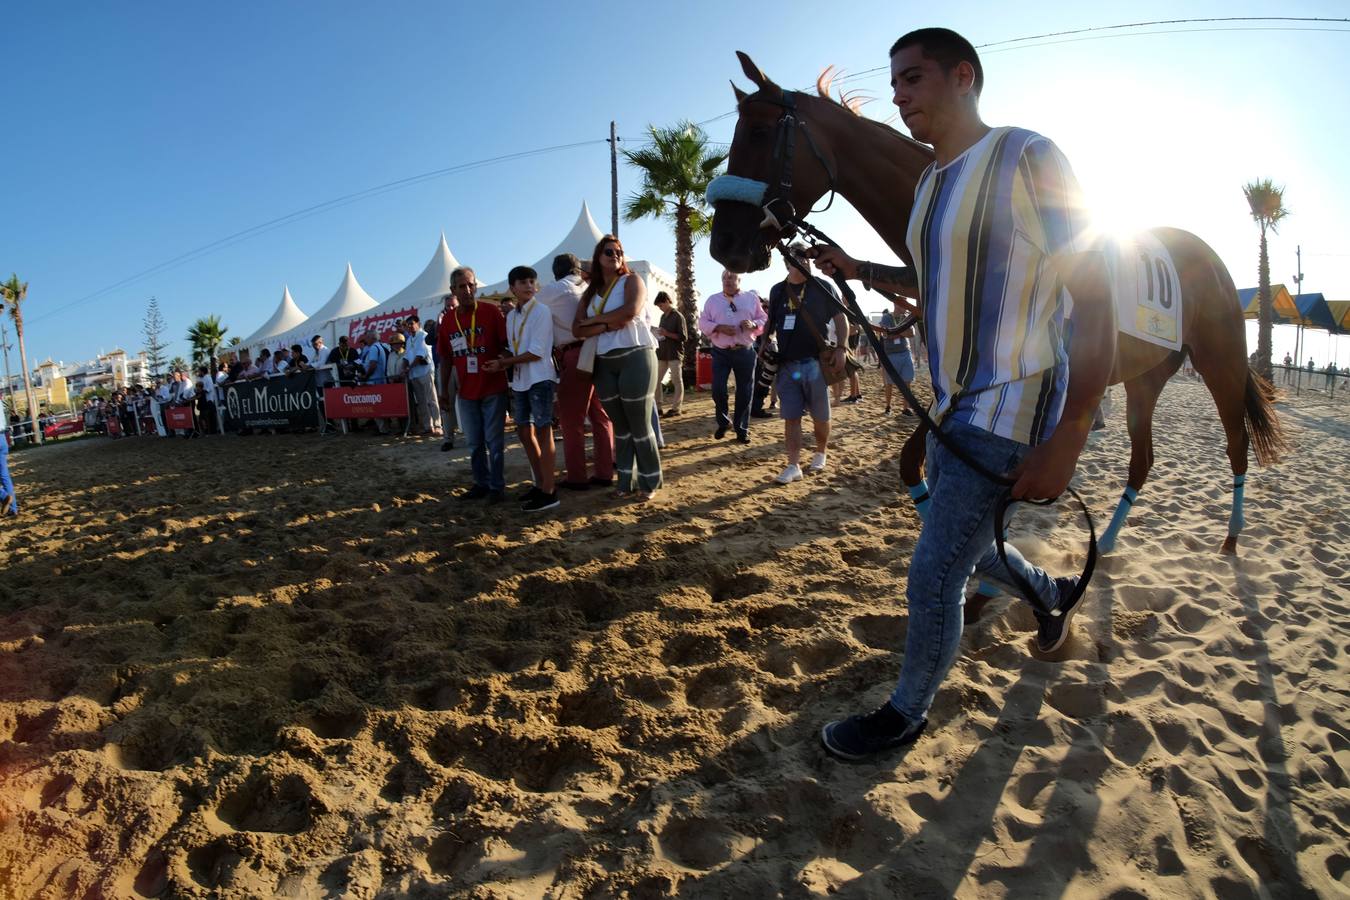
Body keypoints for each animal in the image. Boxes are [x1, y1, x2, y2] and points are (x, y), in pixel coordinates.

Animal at [707, 52, 1285, 555]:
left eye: (758, 133)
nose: (724, 244)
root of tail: (1212, 260)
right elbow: (919, 467)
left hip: (1221, 362)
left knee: (1236, 444)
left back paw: (1232, 538)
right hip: (1147, 376)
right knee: (1142, 460)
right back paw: (1108, 543)